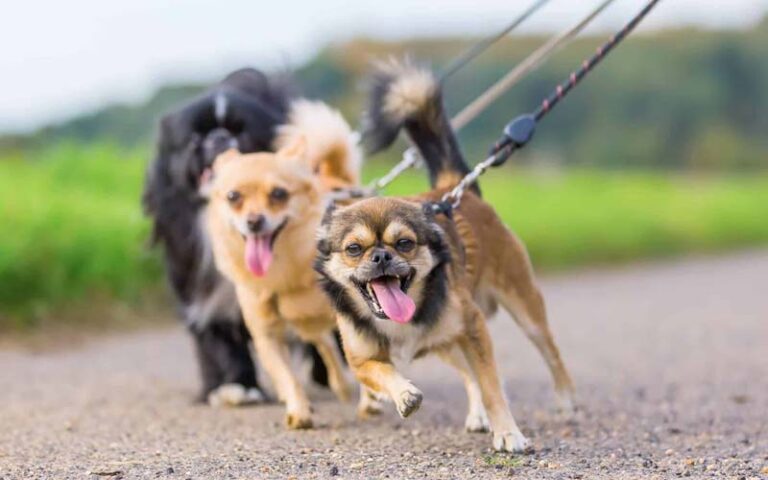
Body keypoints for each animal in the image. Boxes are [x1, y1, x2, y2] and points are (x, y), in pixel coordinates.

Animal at [142, 67, 328, 404]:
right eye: (194, 138)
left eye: (241, 132)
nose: (218, 137)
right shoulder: (208, 301)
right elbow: (222, 346)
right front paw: (237, 387)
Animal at [202, 100, 362, 428]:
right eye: (233, 197)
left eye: (279, 194)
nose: (253, 221)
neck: (284, 270)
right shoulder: (267, 335)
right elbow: (286, 376)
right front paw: (299, 411)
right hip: (307, 326)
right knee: (325, 344)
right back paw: (339, 386)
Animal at [316, 62, 572, 450]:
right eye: (354, 249)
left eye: (404, 243)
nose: (380, 257)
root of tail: (455, 189)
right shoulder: (360, 359)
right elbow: (384, 371)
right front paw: (404, 394)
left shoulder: (474, 327)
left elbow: (492, 385)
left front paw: (508, 432)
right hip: (447, 343)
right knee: (468, 374)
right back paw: (477, 415)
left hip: (521, 308)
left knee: (550, 352)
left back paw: (565, 400)